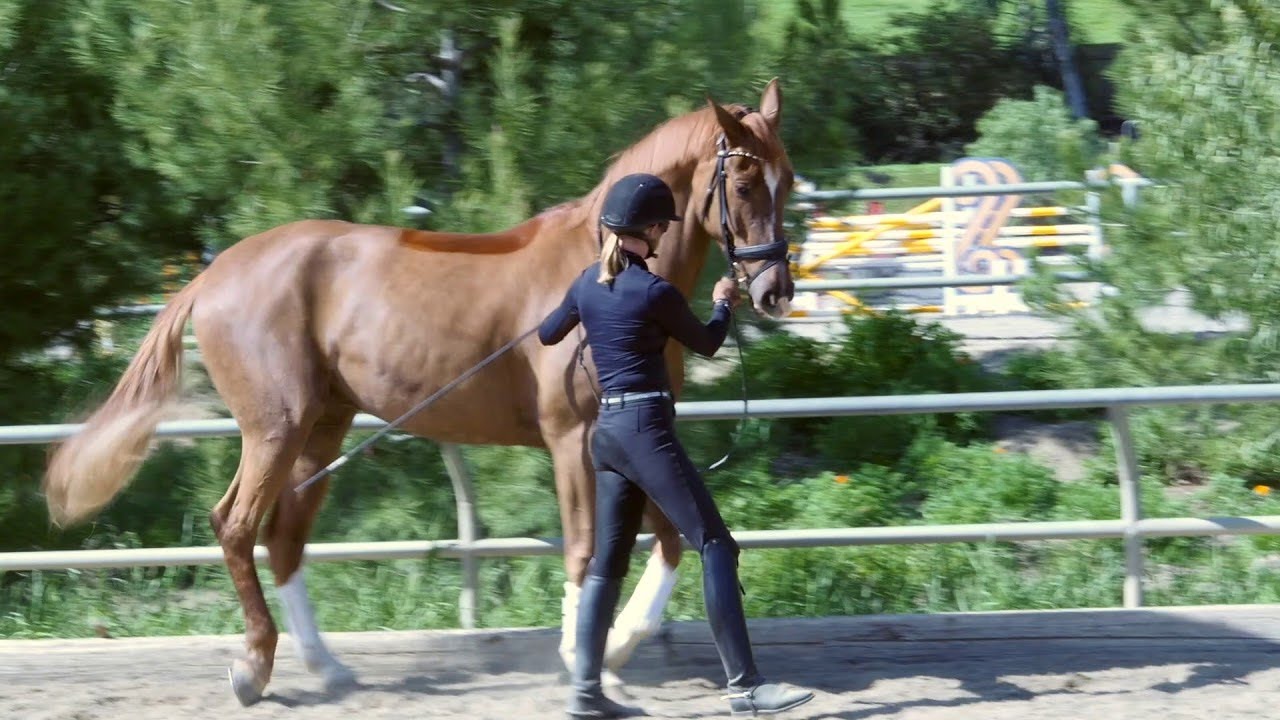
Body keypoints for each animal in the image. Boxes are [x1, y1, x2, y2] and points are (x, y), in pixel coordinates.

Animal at [41, 78, 797, 705]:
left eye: (786, 180)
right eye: (745, 182)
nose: (774, 292)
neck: (605, 267)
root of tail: (214, 272)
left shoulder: (634, 439)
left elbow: (669, 539)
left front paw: (612, 648)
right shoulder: (573, 440)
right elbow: (587, 548)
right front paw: (585, 658)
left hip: (322, 431)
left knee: (284, 538)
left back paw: (329, 669)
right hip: (274, 429)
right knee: (236, 526)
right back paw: (253, 670)